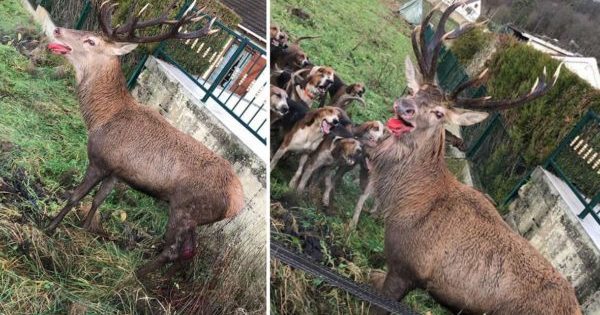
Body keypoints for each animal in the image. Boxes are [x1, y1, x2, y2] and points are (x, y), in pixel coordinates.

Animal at [44, 1, 246, 278]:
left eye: (91, 41)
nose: (56, 30)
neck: (101, 117)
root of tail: (237, 204)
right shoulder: (119, 172)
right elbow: (98, 199)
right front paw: (85, 227)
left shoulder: (100, 160)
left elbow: (76, 196)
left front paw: (50, 227)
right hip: (195, 219)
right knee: (190, 251)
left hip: (184, 208)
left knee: (173, 249)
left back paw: (138, 275)